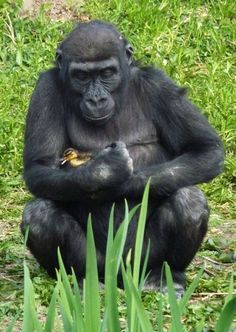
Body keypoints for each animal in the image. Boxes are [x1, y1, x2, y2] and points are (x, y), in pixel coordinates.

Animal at [21, 19, 224, 294]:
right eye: (82, 76)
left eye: (107, 73)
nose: (96, 98)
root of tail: (118, 275)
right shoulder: (45, 89)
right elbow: (39, 166)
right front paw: (103, 173)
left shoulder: (159, 85)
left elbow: (205, 149)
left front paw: (118, 181)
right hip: (98, 263)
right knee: (40, 214)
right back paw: (80, 280)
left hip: (138, 259)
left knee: (189, 200)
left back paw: (163, 275)